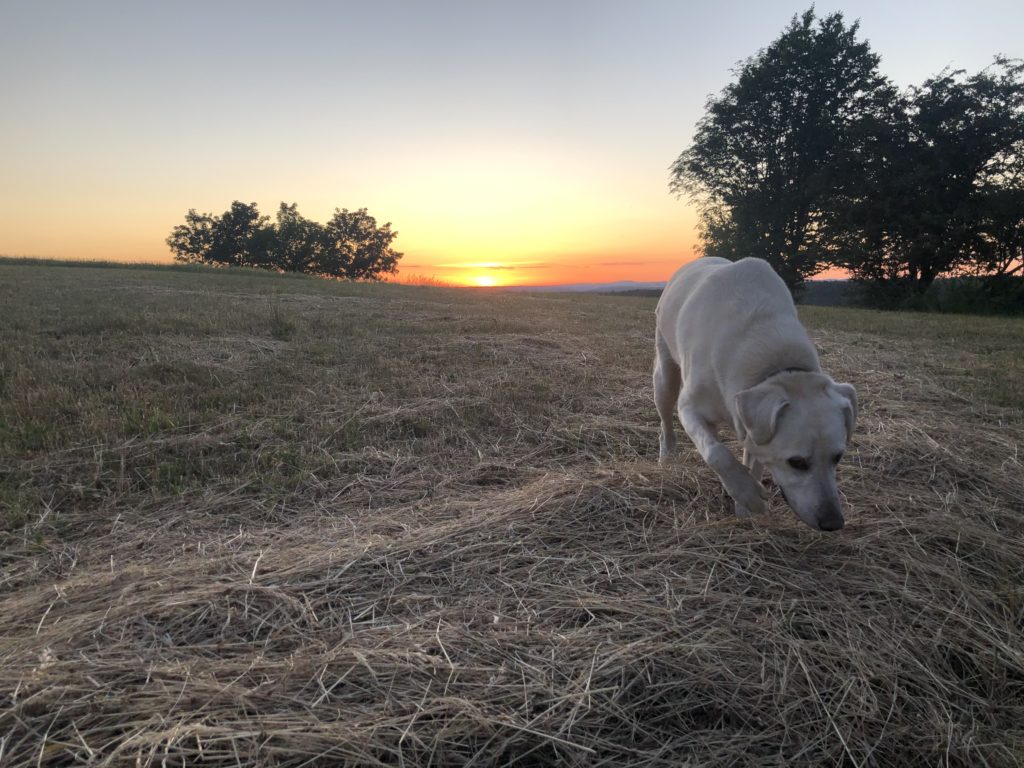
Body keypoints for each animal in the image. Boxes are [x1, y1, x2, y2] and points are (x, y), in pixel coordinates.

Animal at [655, 257, 856, 528]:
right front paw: (748, 494)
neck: (777, 367)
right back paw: (666, 455)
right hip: (664, 375)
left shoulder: (751, 424)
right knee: (666, 419)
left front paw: (744, 510)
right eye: (797, 462)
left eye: (838, 456)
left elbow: (754, 460)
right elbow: (717, 453)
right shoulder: (690, 408)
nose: (833, 522)